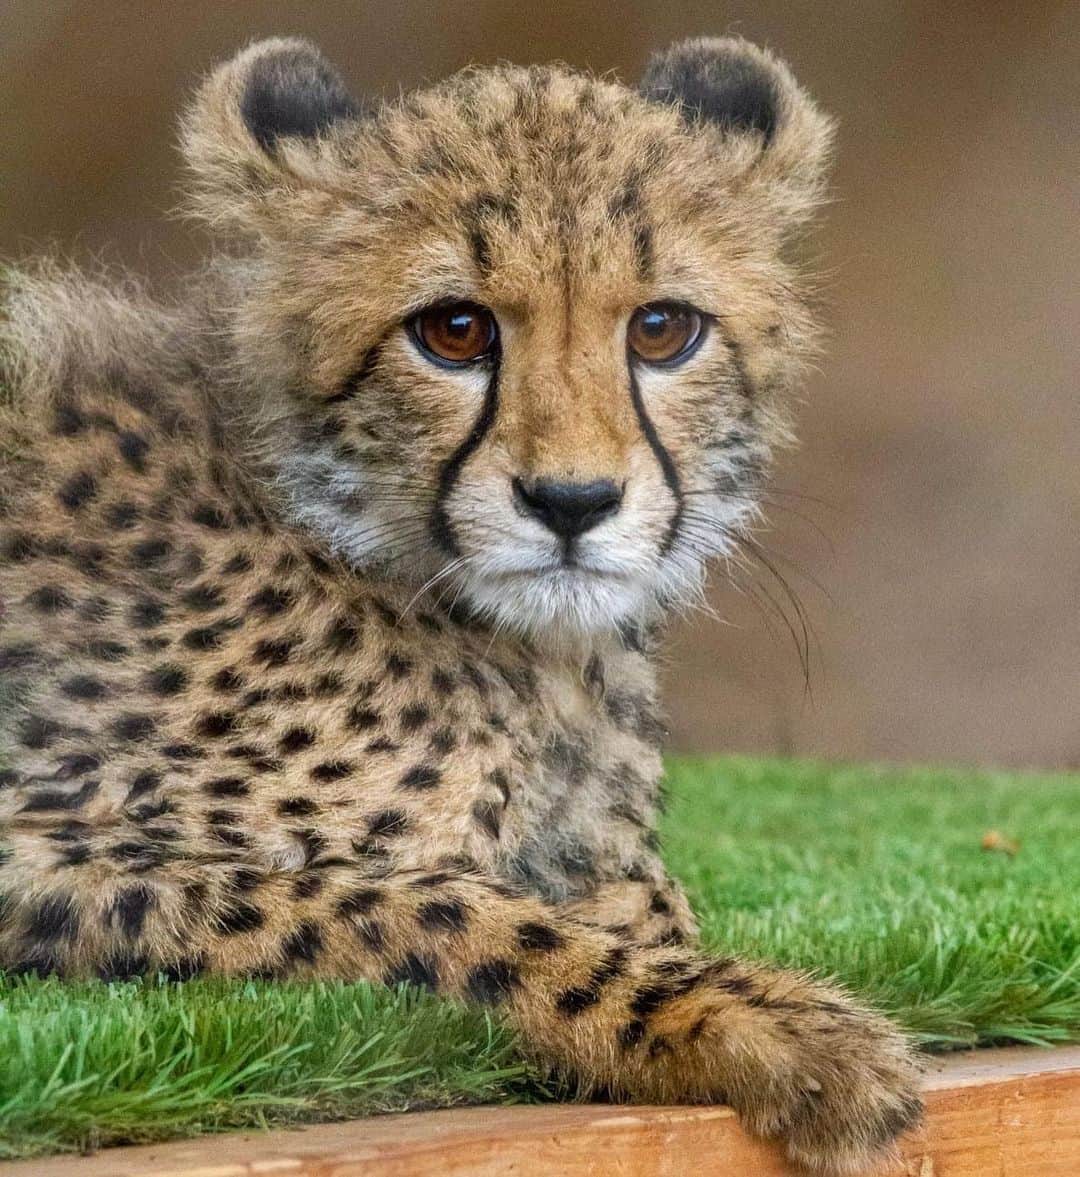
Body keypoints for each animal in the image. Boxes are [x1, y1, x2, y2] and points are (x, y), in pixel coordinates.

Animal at [0, 36, 923, 1173]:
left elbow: (629, 888)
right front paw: (763, 1025)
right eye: (452, 329)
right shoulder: (37, 840)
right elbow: (421, 909)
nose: (573, 501)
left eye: (663, 328)